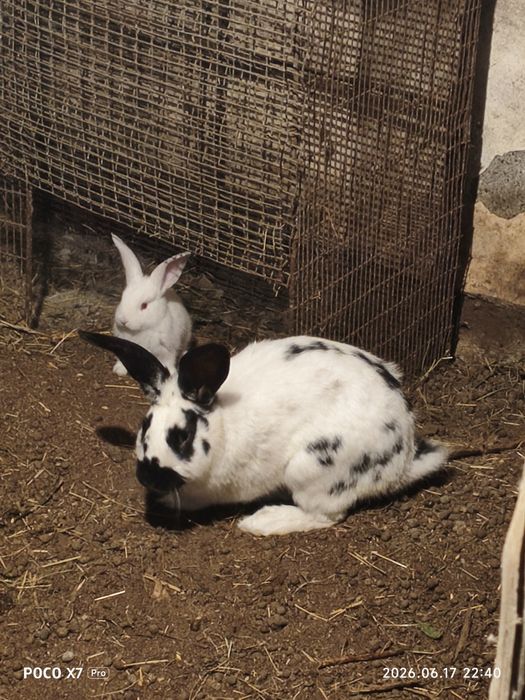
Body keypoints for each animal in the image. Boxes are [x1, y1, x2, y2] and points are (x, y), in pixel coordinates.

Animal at [79, 331, 448, 536]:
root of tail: (402, 458)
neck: (223, 424)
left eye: (181, 436)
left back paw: (263, 522)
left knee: (325, 516)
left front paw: (167, 500)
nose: (148, 478)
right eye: (145, 426)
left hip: (311, 468)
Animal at [111, 233, 192, 375]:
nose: (123, 320)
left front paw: (171, 373)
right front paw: (119, 370)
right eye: (122, 298)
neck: (141, 330)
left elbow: (168, 361)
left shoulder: (167, 349)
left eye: (144, 305)